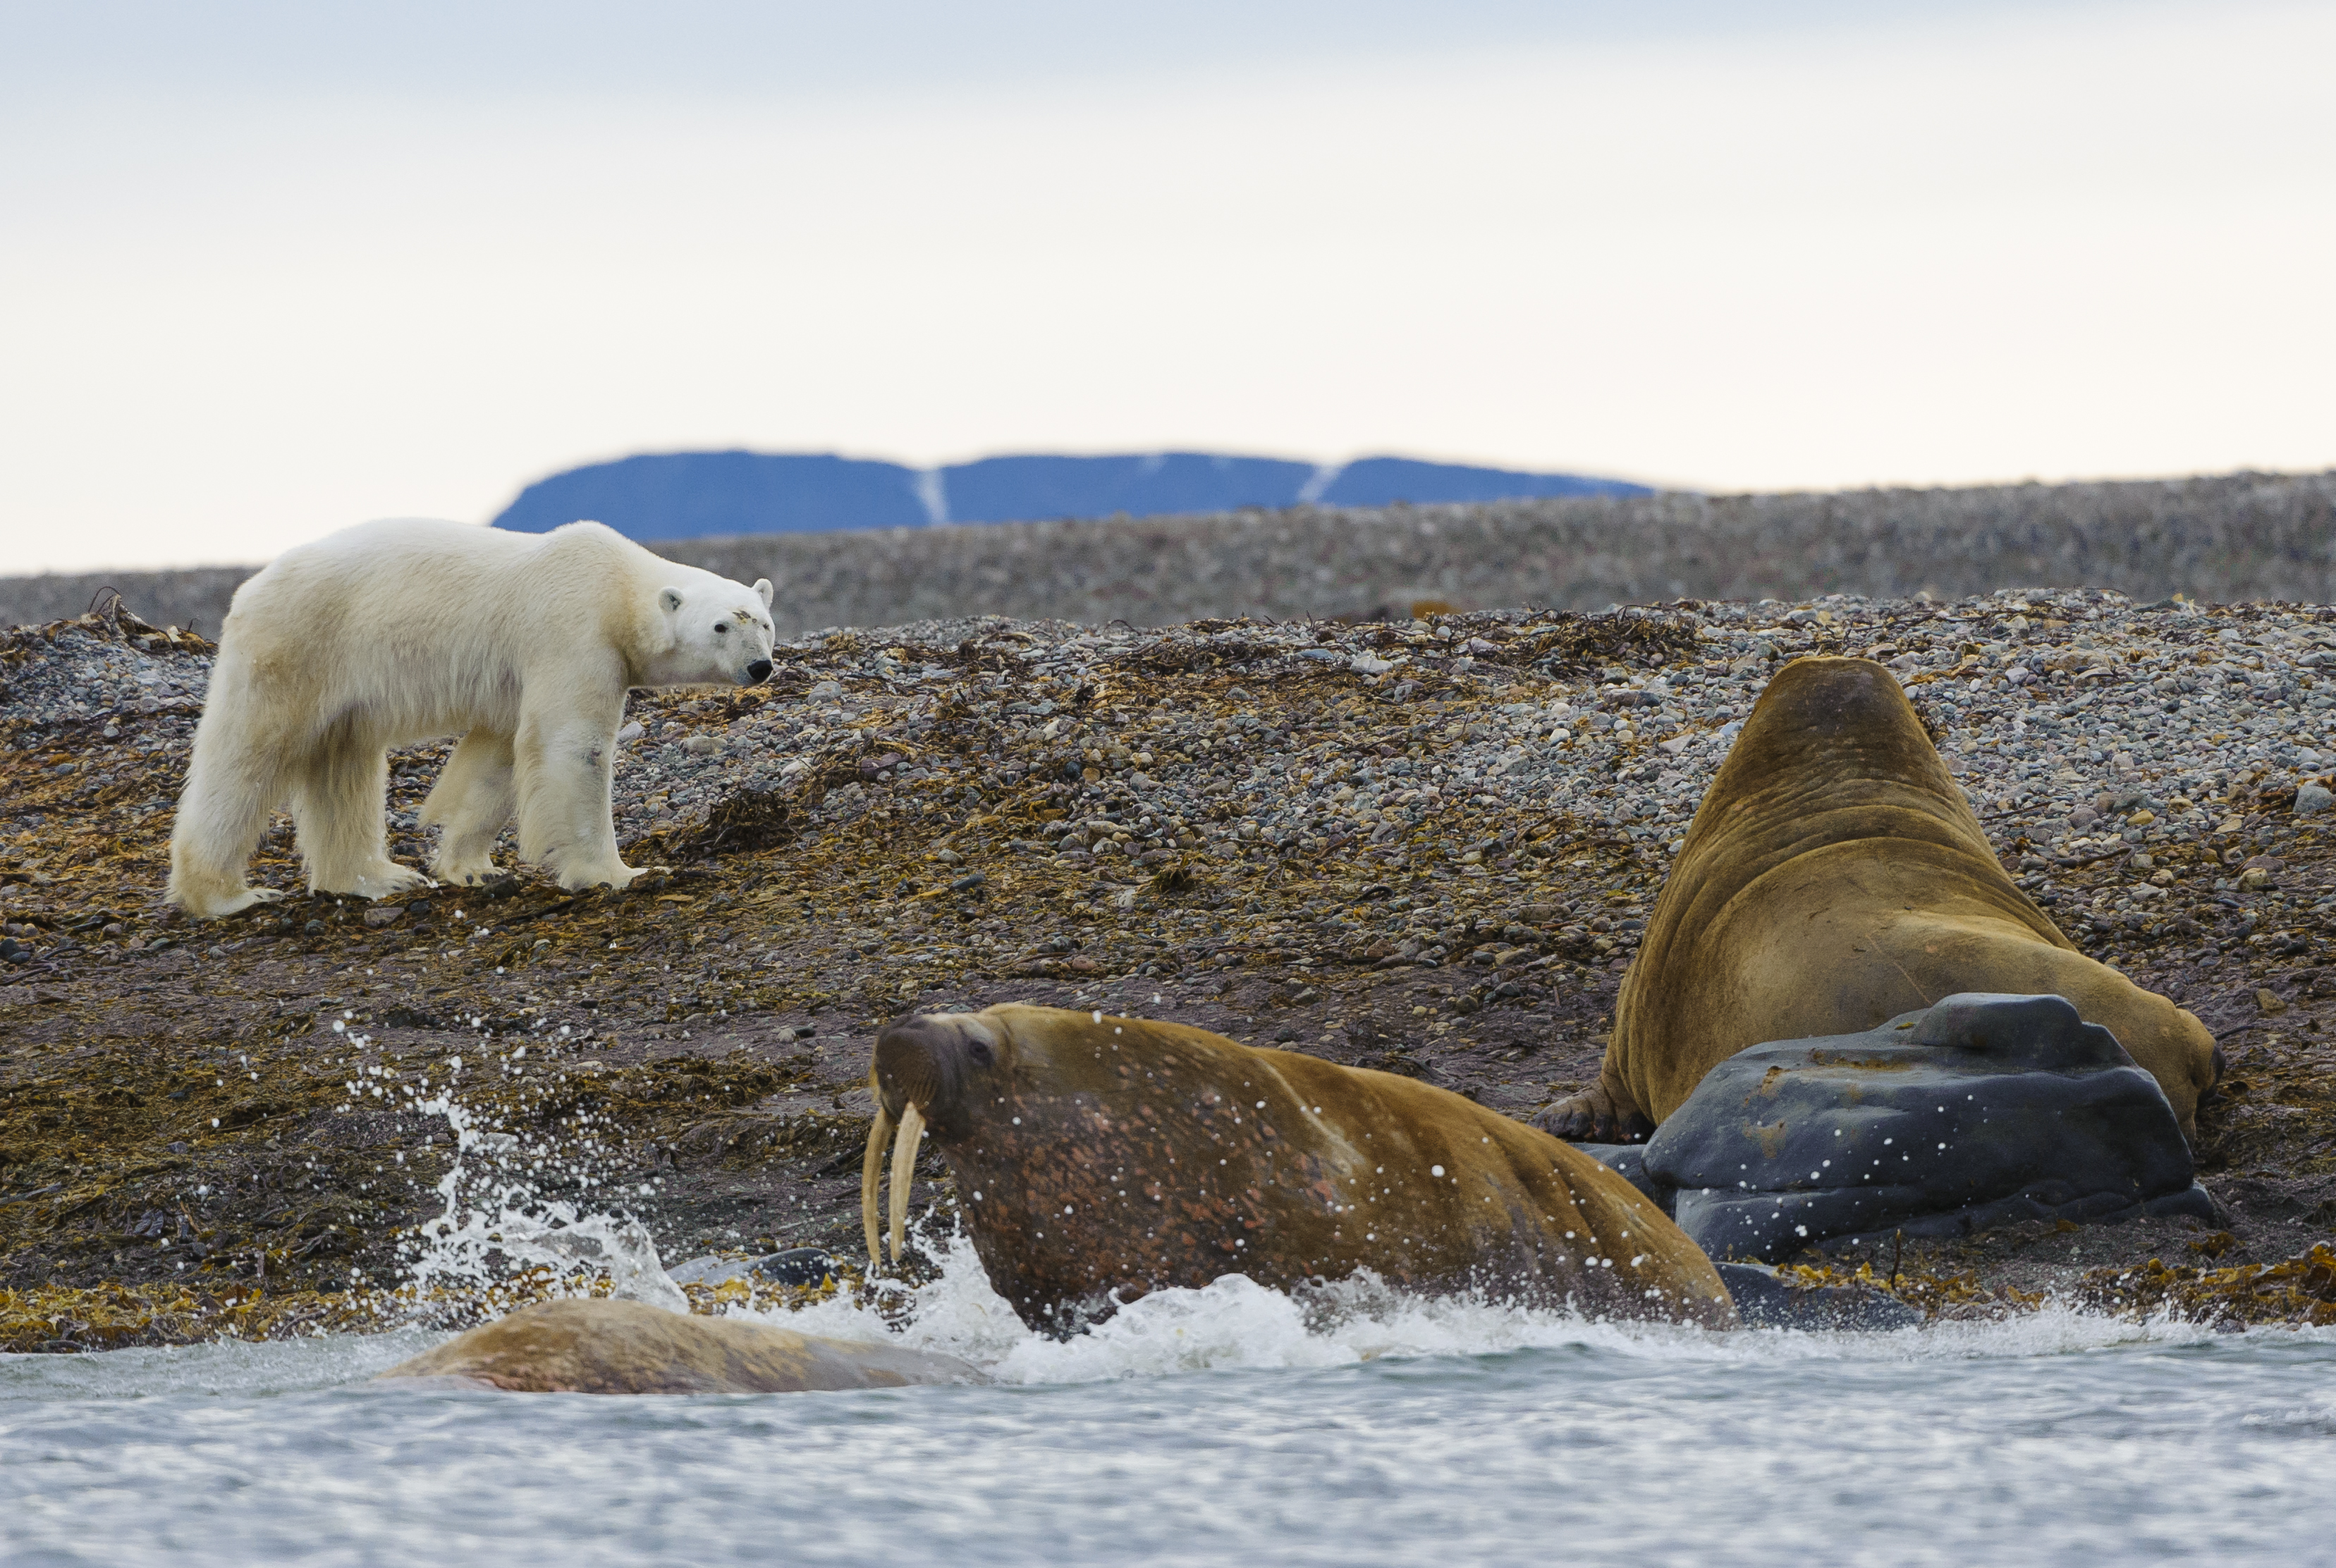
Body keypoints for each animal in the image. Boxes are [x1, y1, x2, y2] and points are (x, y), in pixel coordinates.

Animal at [169, 521, 785, 920]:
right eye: (721, 627)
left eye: (763, 622)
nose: (761, 667)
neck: (616, 585)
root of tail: (251, 588)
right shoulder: (572, 633)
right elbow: (570, 746)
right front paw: (619, 874)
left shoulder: (519, 680)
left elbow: (498, 760)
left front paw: (473, 868)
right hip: (296, 649)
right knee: (247, 758)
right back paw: (227, 895)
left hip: (340, 686)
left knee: (343, 769)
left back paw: (378, 877)